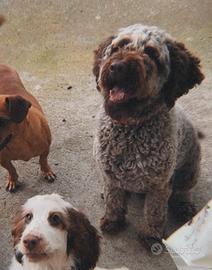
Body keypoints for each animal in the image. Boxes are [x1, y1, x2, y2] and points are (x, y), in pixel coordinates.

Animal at [92, 23, 204, 247]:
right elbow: (113, 200)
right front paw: (113, 220)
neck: (131, 128)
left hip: (190, 169)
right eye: (119, 46)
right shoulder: (110, 177)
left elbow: (155, 211)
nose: (117, 66)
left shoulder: (159, 185)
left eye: (151, 53)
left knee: (182, 191)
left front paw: (151, 234)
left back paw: (183, 206)